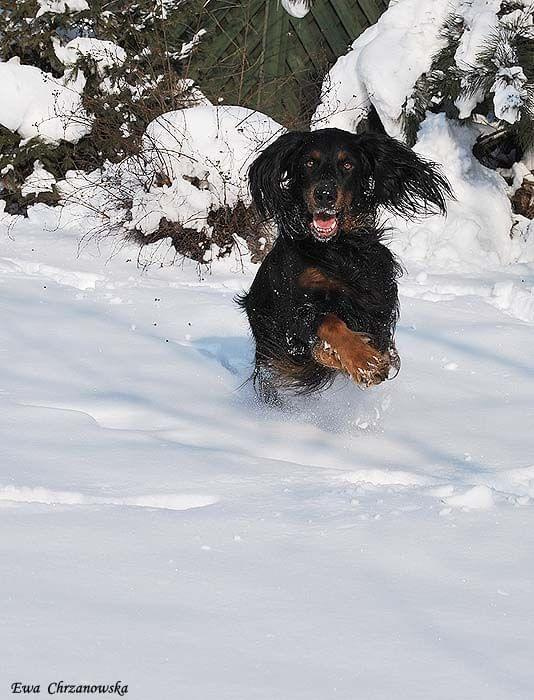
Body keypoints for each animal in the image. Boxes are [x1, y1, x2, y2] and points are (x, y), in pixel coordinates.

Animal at [239, 126, 452, 400]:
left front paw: (373, 359)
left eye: (348, 164)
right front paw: (365, 362)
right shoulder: (292, 315)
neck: (336, 249)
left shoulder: (378, 297)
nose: (325, 194)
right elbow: (329, 323)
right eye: (309, 162)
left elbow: (378, 339)